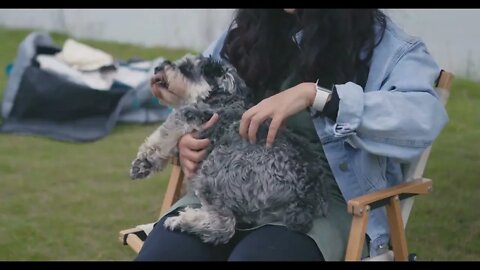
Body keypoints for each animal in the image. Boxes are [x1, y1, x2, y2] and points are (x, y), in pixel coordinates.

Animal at [127, 54, 330, 245]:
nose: (157, 68)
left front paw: (141, 165)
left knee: (224, 227)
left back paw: (183, 220)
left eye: (186, 67)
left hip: (213, 171)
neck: (221, 97)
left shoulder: (188, 116)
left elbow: (160, 139)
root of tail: (306, 195)